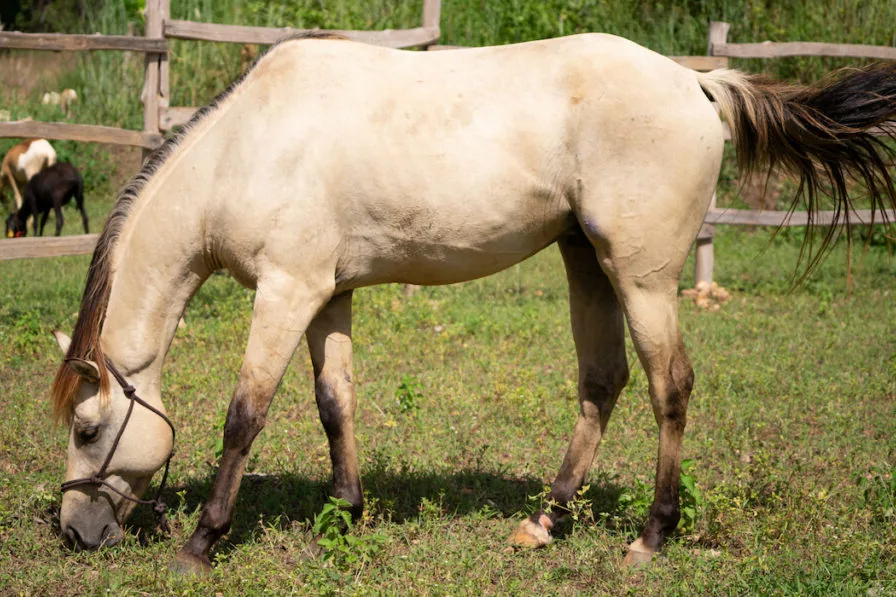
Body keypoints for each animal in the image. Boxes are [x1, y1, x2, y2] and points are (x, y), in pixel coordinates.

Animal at [48, 32, 896, 575]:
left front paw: (202, 542)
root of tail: (696, 82)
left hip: (644, 280)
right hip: (586, 260)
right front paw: (343, 514)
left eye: (89, 430)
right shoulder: (327, 293)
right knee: (603, 382)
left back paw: (652, 536)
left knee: (668, 387)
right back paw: (544, 521)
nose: (76, 532)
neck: (246, 146)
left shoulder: (286, 292)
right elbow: (334, 401)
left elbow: (244, 415)